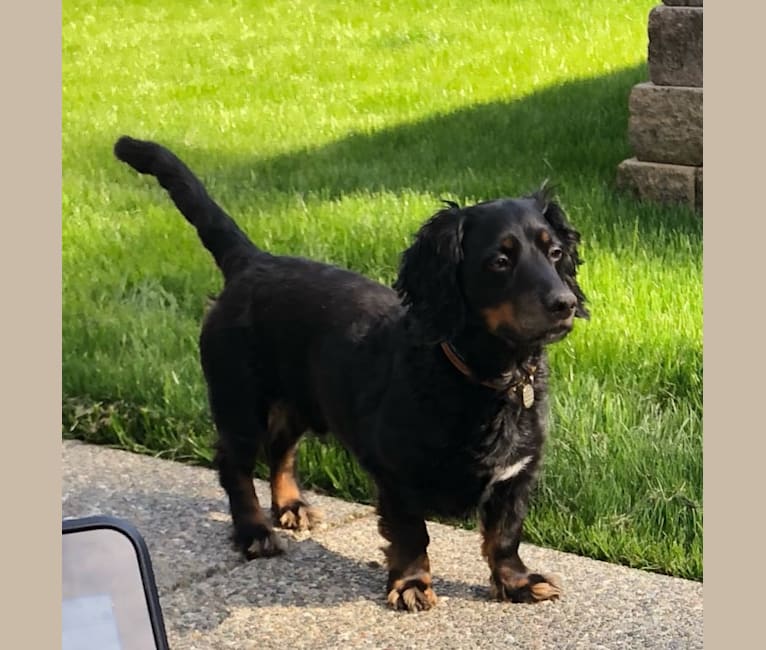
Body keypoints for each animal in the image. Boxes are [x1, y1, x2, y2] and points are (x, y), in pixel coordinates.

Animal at [114, 134, 592, 612]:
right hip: (240, 402)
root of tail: (253, 261)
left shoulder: (516, 475)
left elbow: (504, 535)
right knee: (235, 466)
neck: (482, 379)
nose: (565, 303)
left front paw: (517, 582)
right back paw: (254, 532)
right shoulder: (397, 475)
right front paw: (412, 583)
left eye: (554, 253)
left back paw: (291, 505)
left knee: (281, 451)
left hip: (297, 403)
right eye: (499, 261)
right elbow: (411, 534)